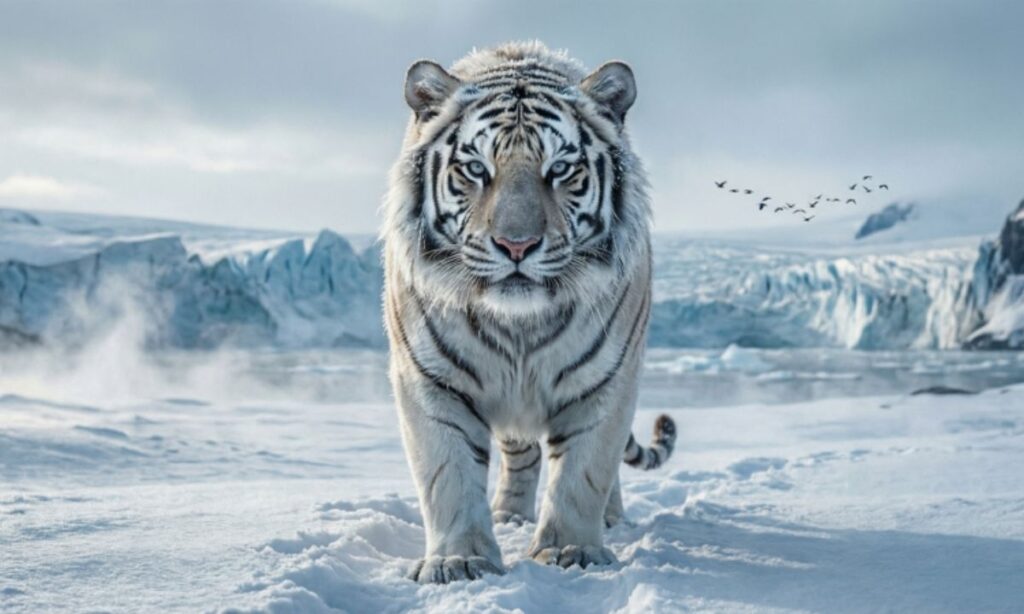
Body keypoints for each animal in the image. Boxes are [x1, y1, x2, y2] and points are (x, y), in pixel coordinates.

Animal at [381, 41, 676, 584]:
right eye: (476, 169)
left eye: (560, 170)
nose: (516, 245)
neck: (518, 324)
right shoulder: (430, 379)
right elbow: (448, 473)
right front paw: (459, 561)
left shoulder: (608, 380)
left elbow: (584, 471)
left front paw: (570, 552)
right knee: (522, 453)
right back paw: (509, 515)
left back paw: (611, 520)